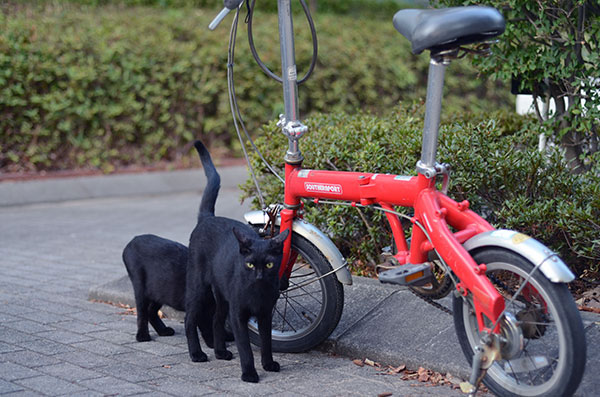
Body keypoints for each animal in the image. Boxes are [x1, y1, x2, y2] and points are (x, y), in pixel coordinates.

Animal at [188, 141, 290, 382]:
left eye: (269, 264)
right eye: (250, 264)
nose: (259, 276)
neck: (257, 292)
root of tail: (208, 218)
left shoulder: (264, 314)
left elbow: (266, 342)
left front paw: (268, 363)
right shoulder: (238, 316)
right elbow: (245, 348)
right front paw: (250, 373)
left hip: (222, 296)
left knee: (216, 319)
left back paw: (220, 352)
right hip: (199, 288)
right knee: (190, 319)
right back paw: (196, 354)